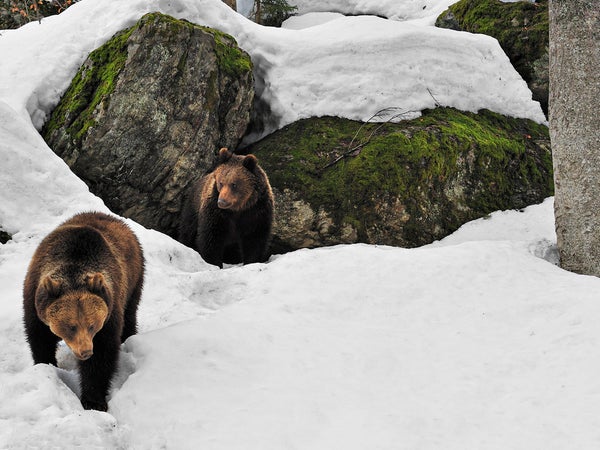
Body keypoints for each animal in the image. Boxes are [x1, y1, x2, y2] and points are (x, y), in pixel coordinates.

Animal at [22, 211, 145, 412]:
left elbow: (102, 354)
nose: (85, 351)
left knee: (130, 314)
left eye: (92, 325)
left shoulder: (110, 310)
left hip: (135, 278)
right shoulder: (34, 299)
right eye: (70, 326)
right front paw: (46, 364)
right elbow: (39, 339)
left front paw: (93, 401)